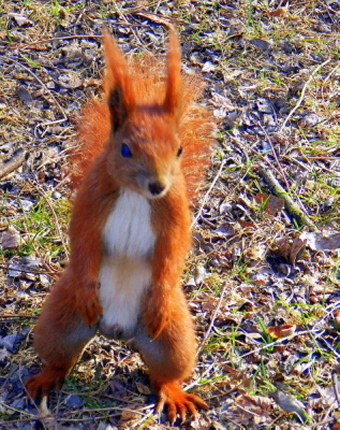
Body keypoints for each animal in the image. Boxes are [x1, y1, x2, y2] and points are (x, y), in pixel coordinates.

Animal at [25, 27, 214, 424]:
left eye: (179, 150)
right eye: (126, 150)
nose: (157, 185)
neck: (134, 193)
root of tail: (116, 330)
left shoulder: (174, 211)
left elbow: (174, 248)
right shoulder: (91, 202)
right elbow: (82, 239)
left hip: (171, 337)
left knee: (165, 373)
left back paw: (174, 394)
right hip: (61, 320)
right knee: (58, 358)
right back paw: (45, 378)